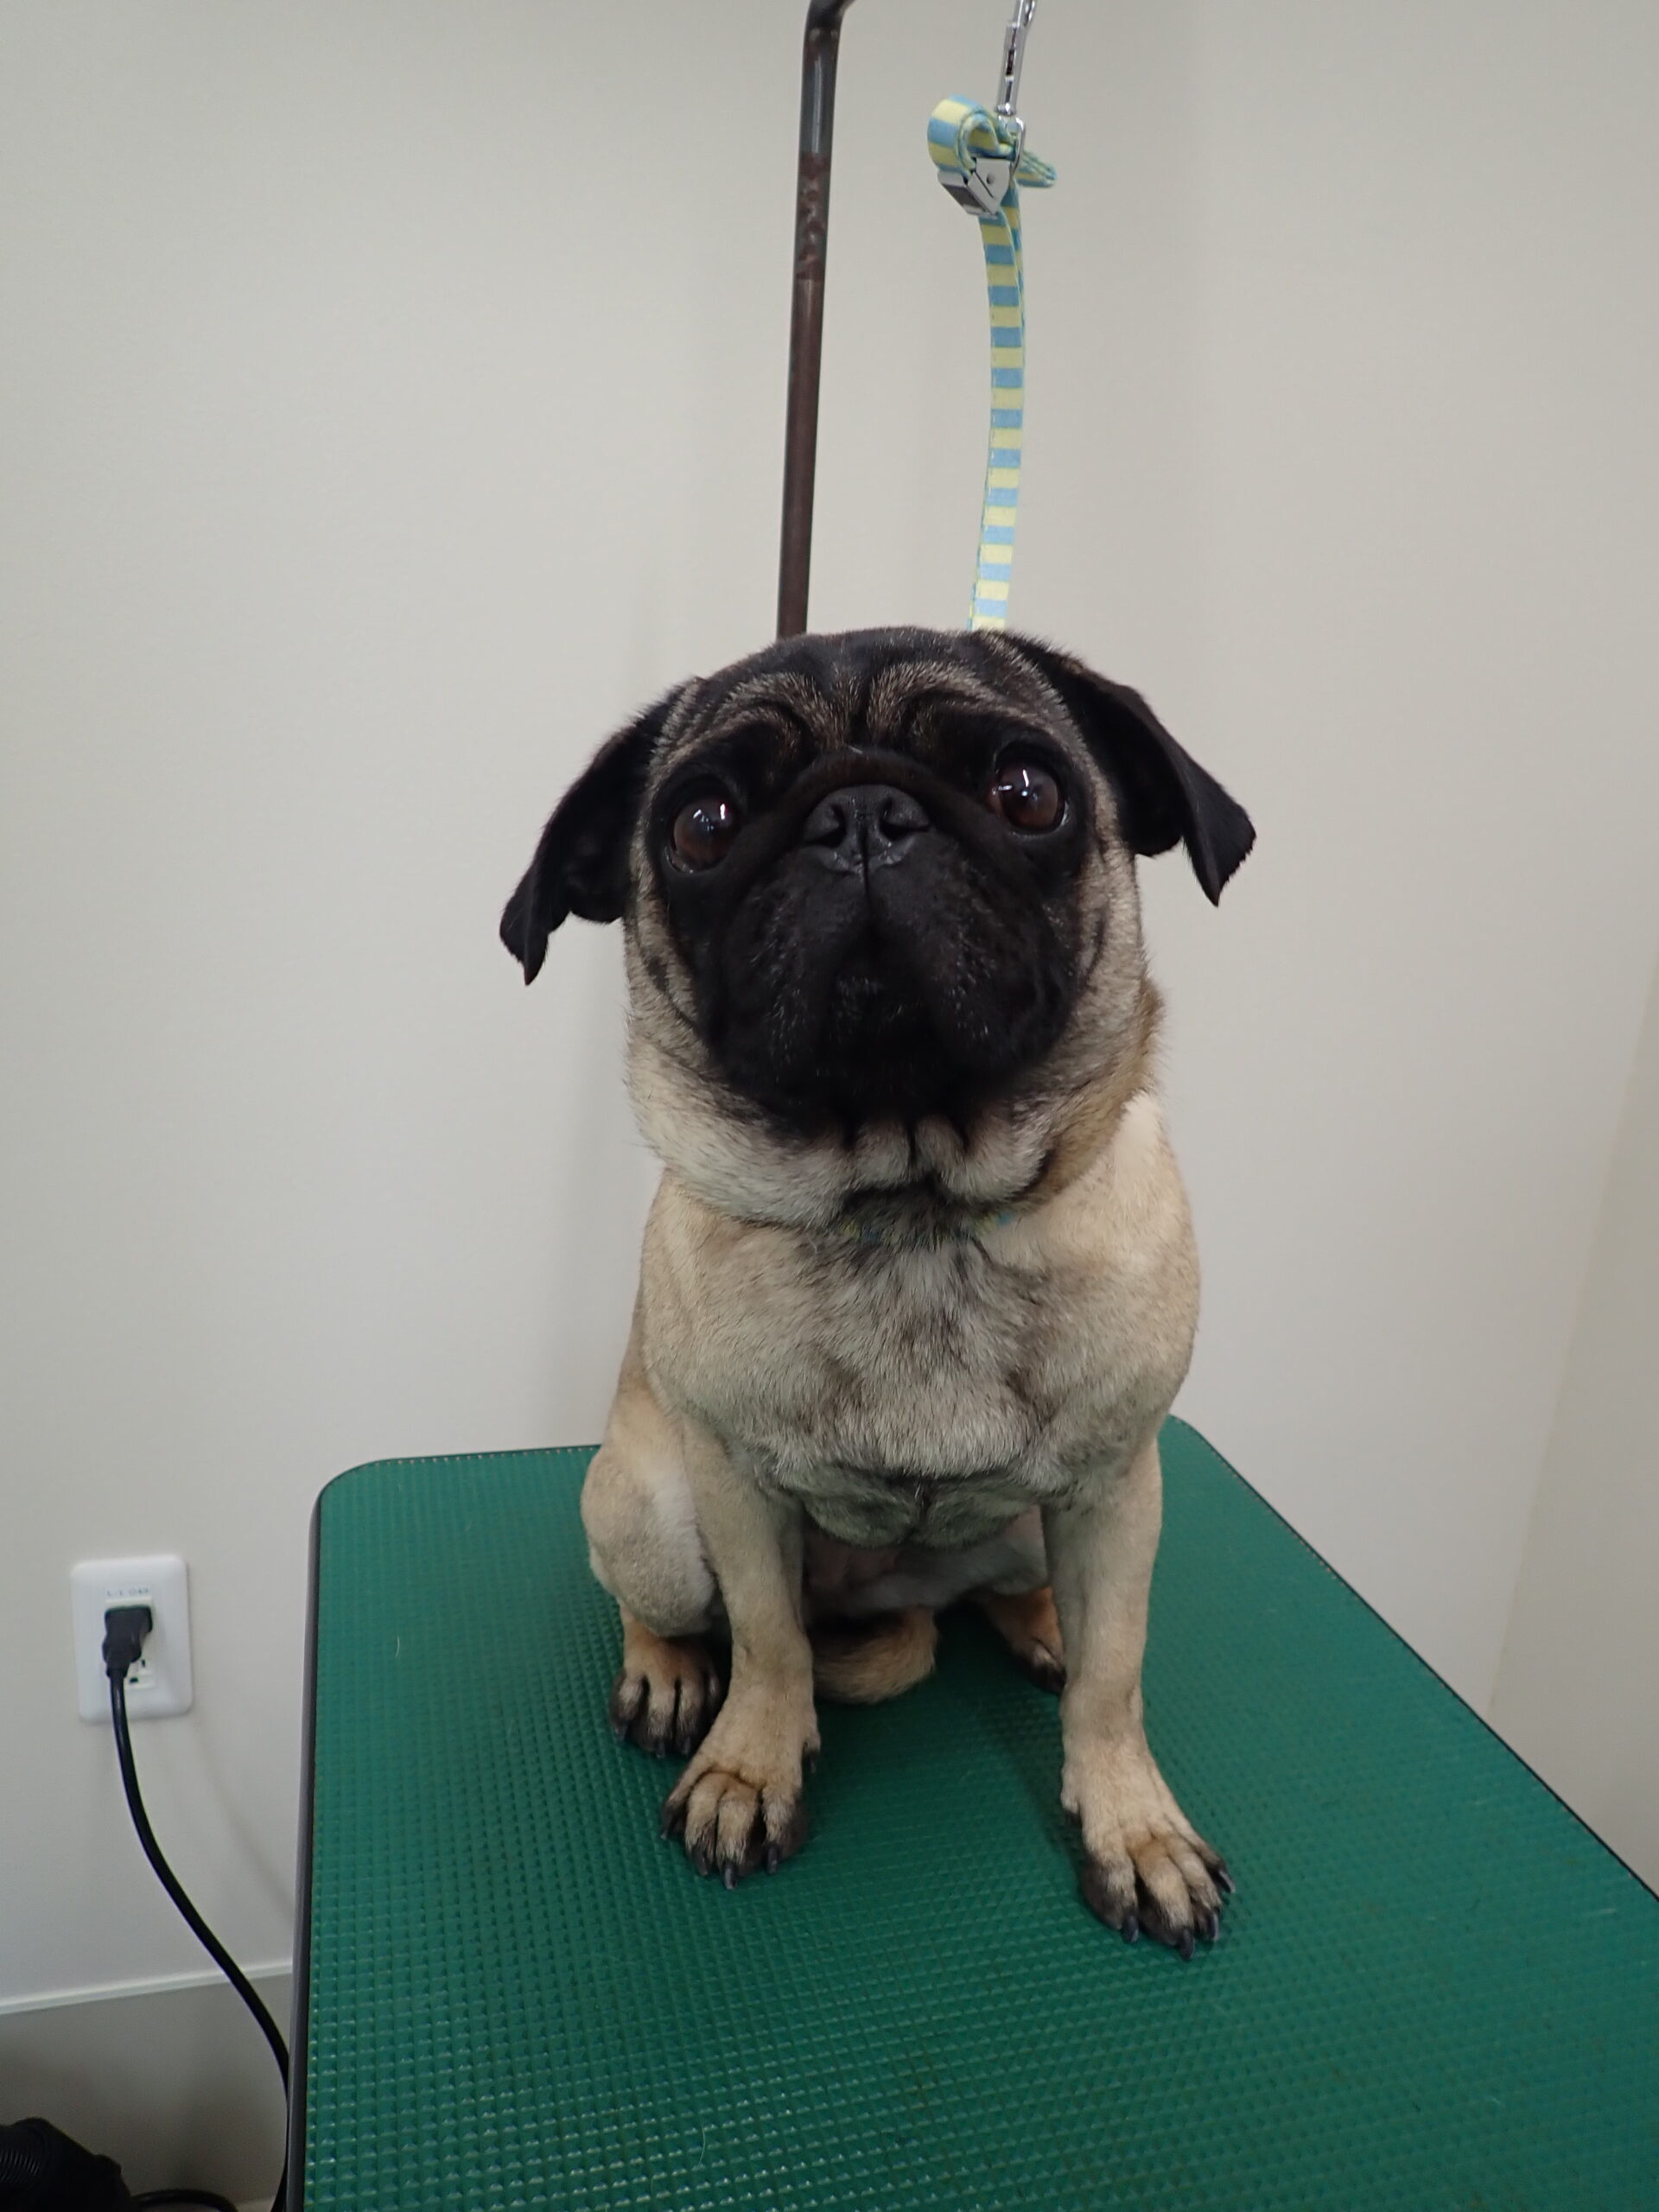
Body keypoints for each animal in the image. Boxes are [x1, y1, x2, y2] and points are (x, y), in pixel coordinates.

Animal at [502, 626, 1253, 1953]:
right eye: (702, 823)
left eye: (1028, 792)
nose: (860, 815)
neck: (914, 1208)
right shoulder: (738, 1491)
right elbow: (767, 1644)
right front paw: (750, 1767)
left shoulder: (1121, 1485)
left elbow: (1116, 1682)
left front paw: (1134, 1828)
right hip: (652, 1509)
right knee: (689, 1609)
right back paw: (670, 1673)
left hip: (1050, 1520)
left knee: (1035, 1605)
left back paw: (1042, 1623)